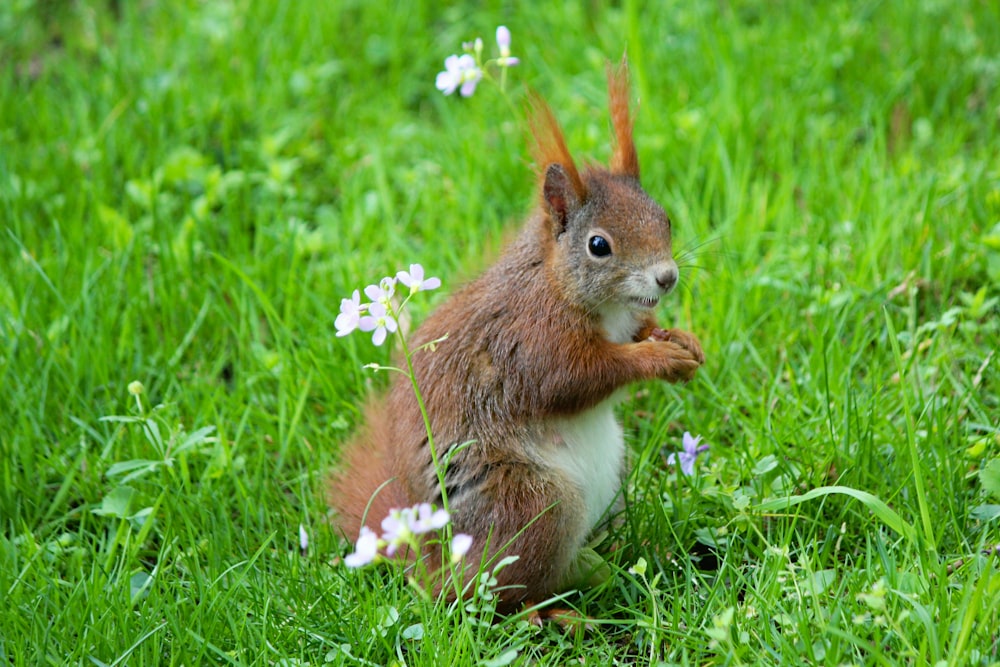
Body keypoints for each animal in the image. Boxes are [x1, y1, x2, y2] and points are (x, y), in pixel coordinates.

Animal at [328, 60, 704, 612]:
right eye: (598, 245)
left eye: (666, 218)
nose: (667, 278)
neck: (560, 283)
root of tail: (434, 561)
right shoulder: (532, 338)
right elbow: (576, 378)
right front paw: (657, 358)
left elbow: (641, 328)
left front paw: (680, 339)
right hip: (532, 505)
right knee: (498, 596)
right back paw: (555, 616)